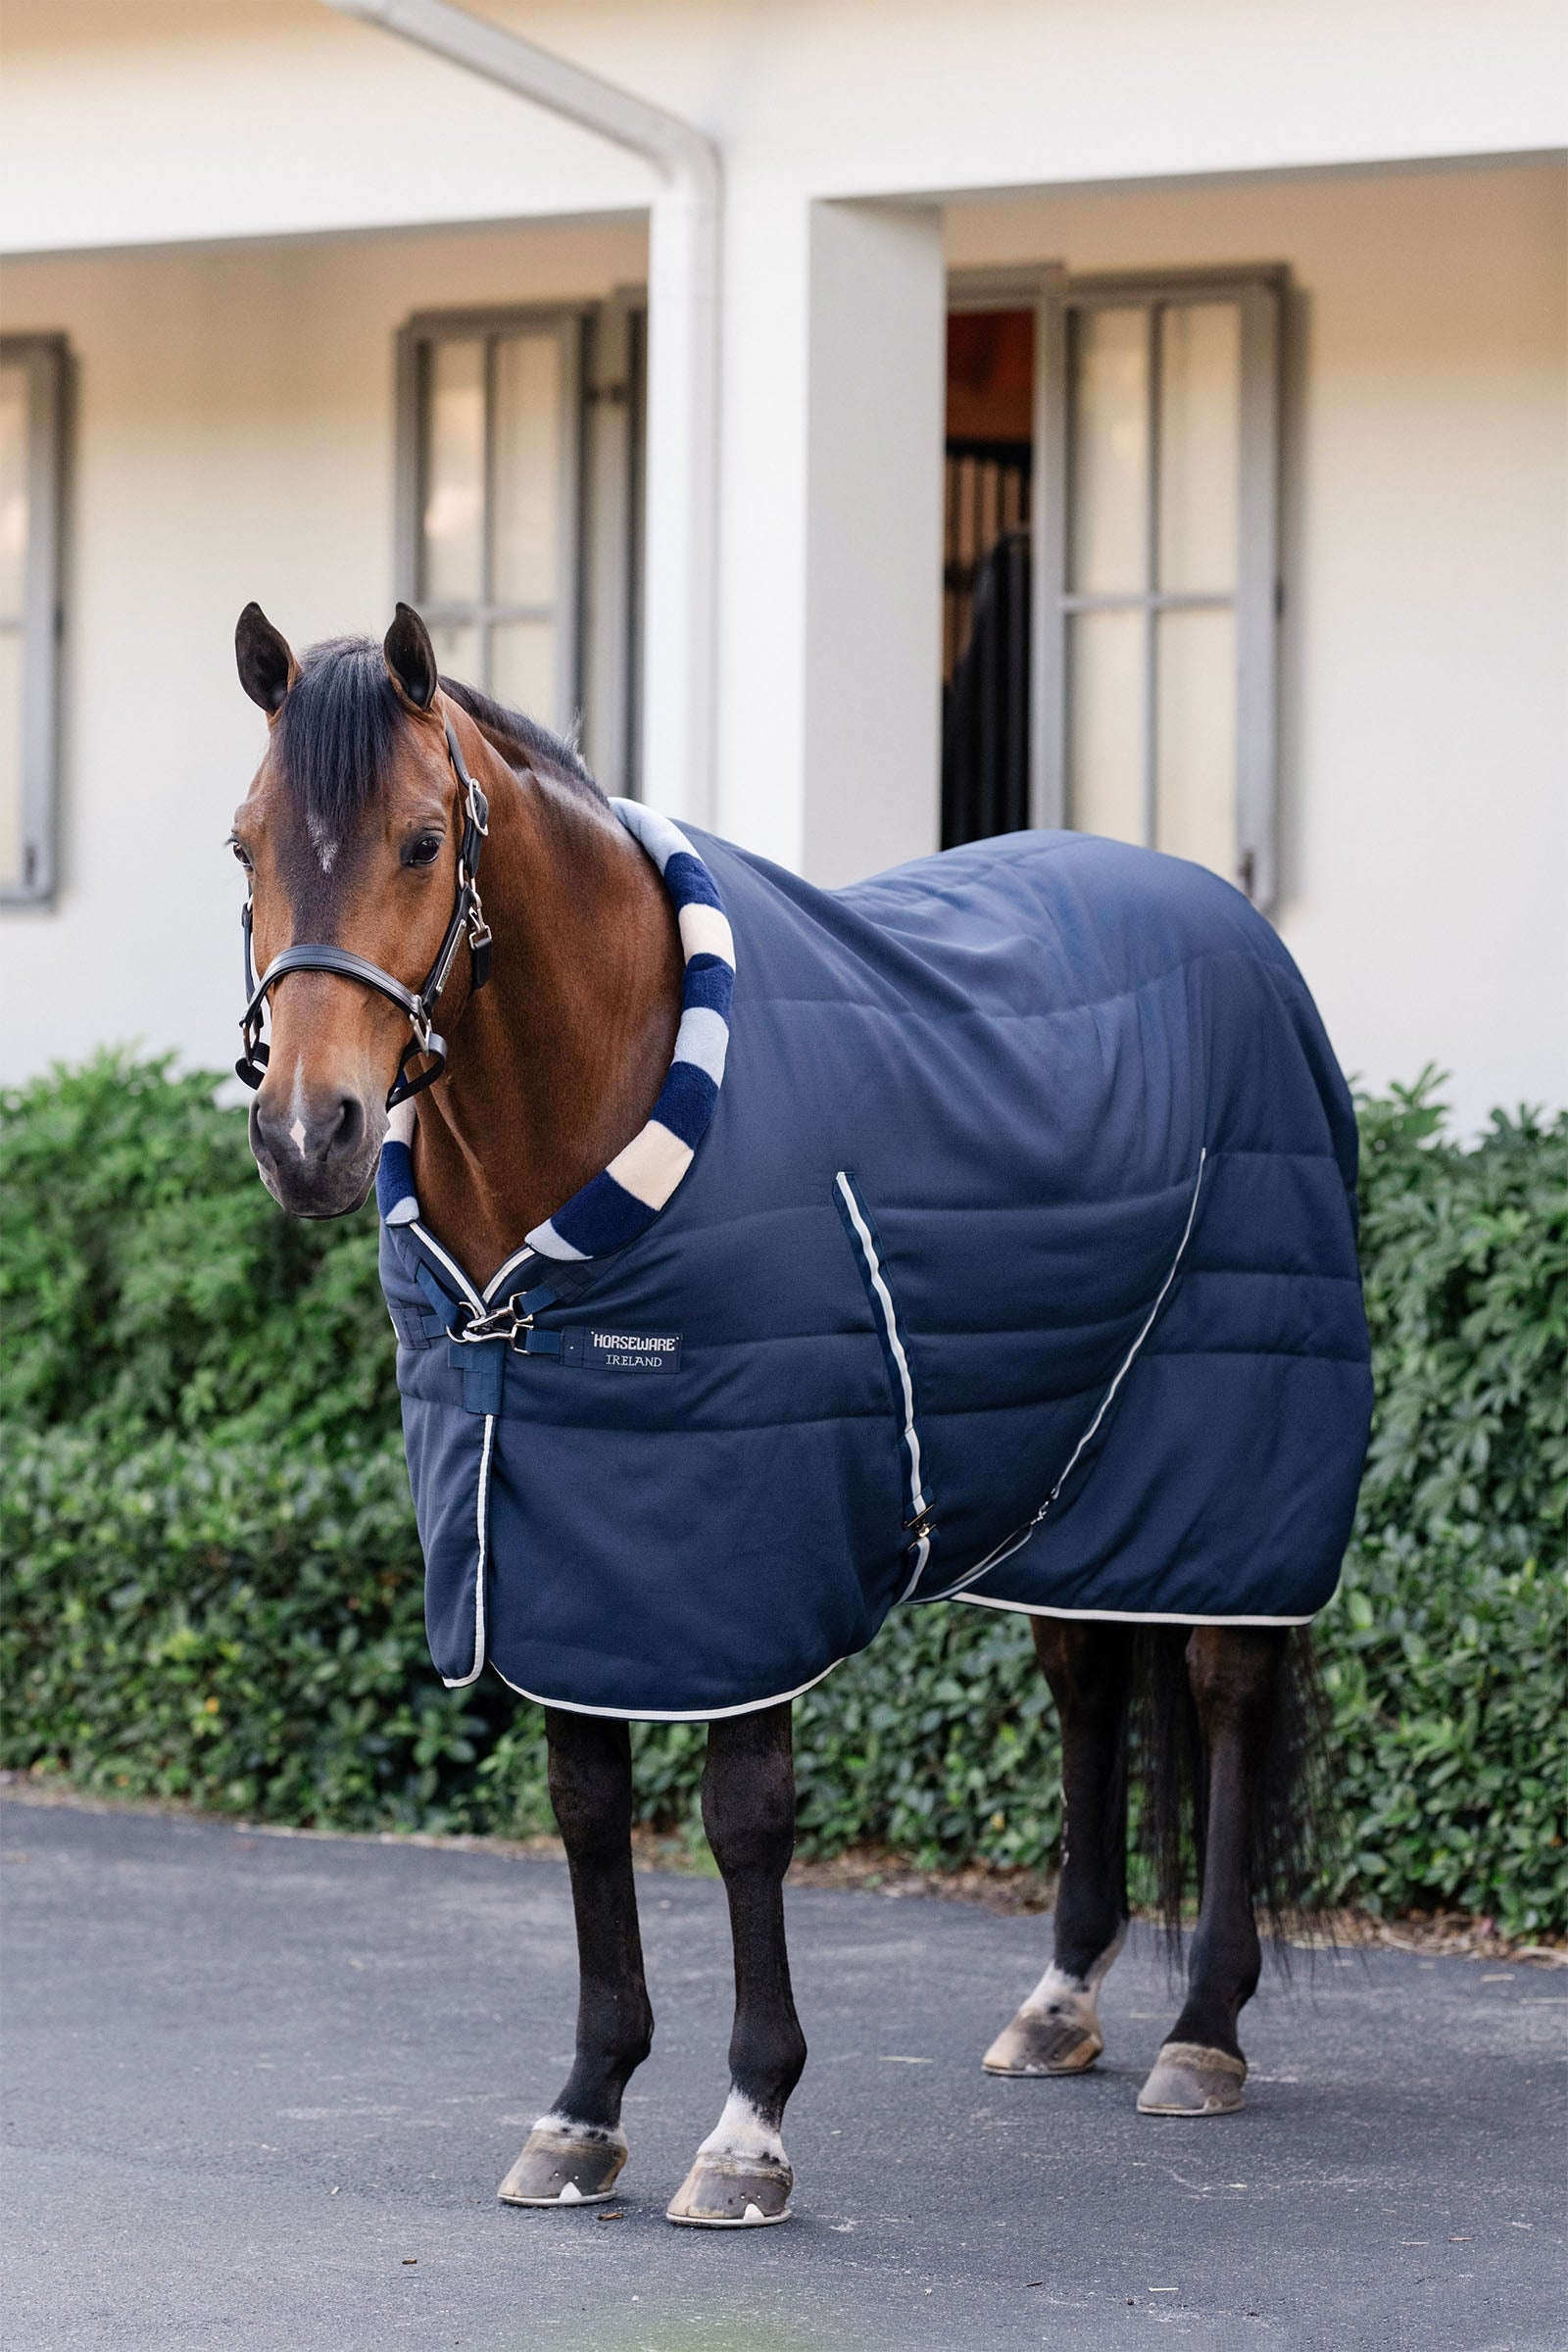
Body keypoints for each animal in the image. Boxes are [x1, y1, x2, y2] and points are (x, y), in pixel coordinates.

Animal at [228, 599, 1371, 2227]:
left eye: (421, 841)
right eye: (243, 842)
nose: (305, 1136)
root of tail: (1233, 922)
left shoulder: (737, 1550)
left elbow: (747, 1817)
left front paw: (748, 2125)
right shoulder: (557, 1534)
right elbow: (588, 1805)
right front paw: (583, 2109)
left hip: (1229, 1452)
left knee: (1221, 1688)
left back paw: (1204, 2028)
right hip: (1077, 1479)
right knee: (1088, 1680)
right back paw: (1061, 2000)